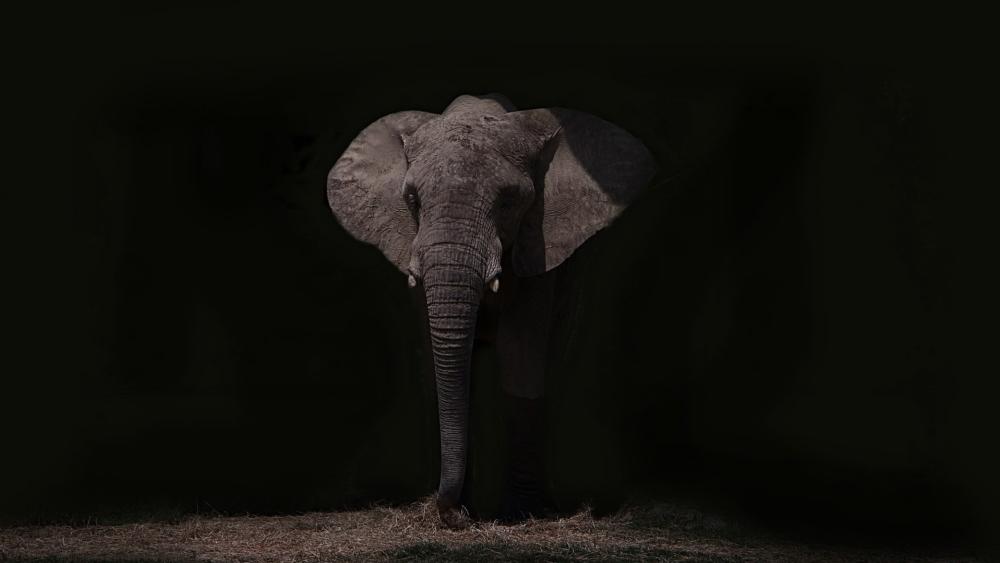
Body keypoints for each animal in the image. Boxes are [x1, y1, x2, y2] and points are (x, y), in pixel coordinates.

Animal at [326, 93, 657, 528]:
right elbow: (442, 367)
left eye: (509, 201)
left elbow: (521, 359)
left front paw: (519, 513)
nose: (453, 516)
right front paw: (461, 509)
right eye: (412, 200)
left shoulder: (539, 247)